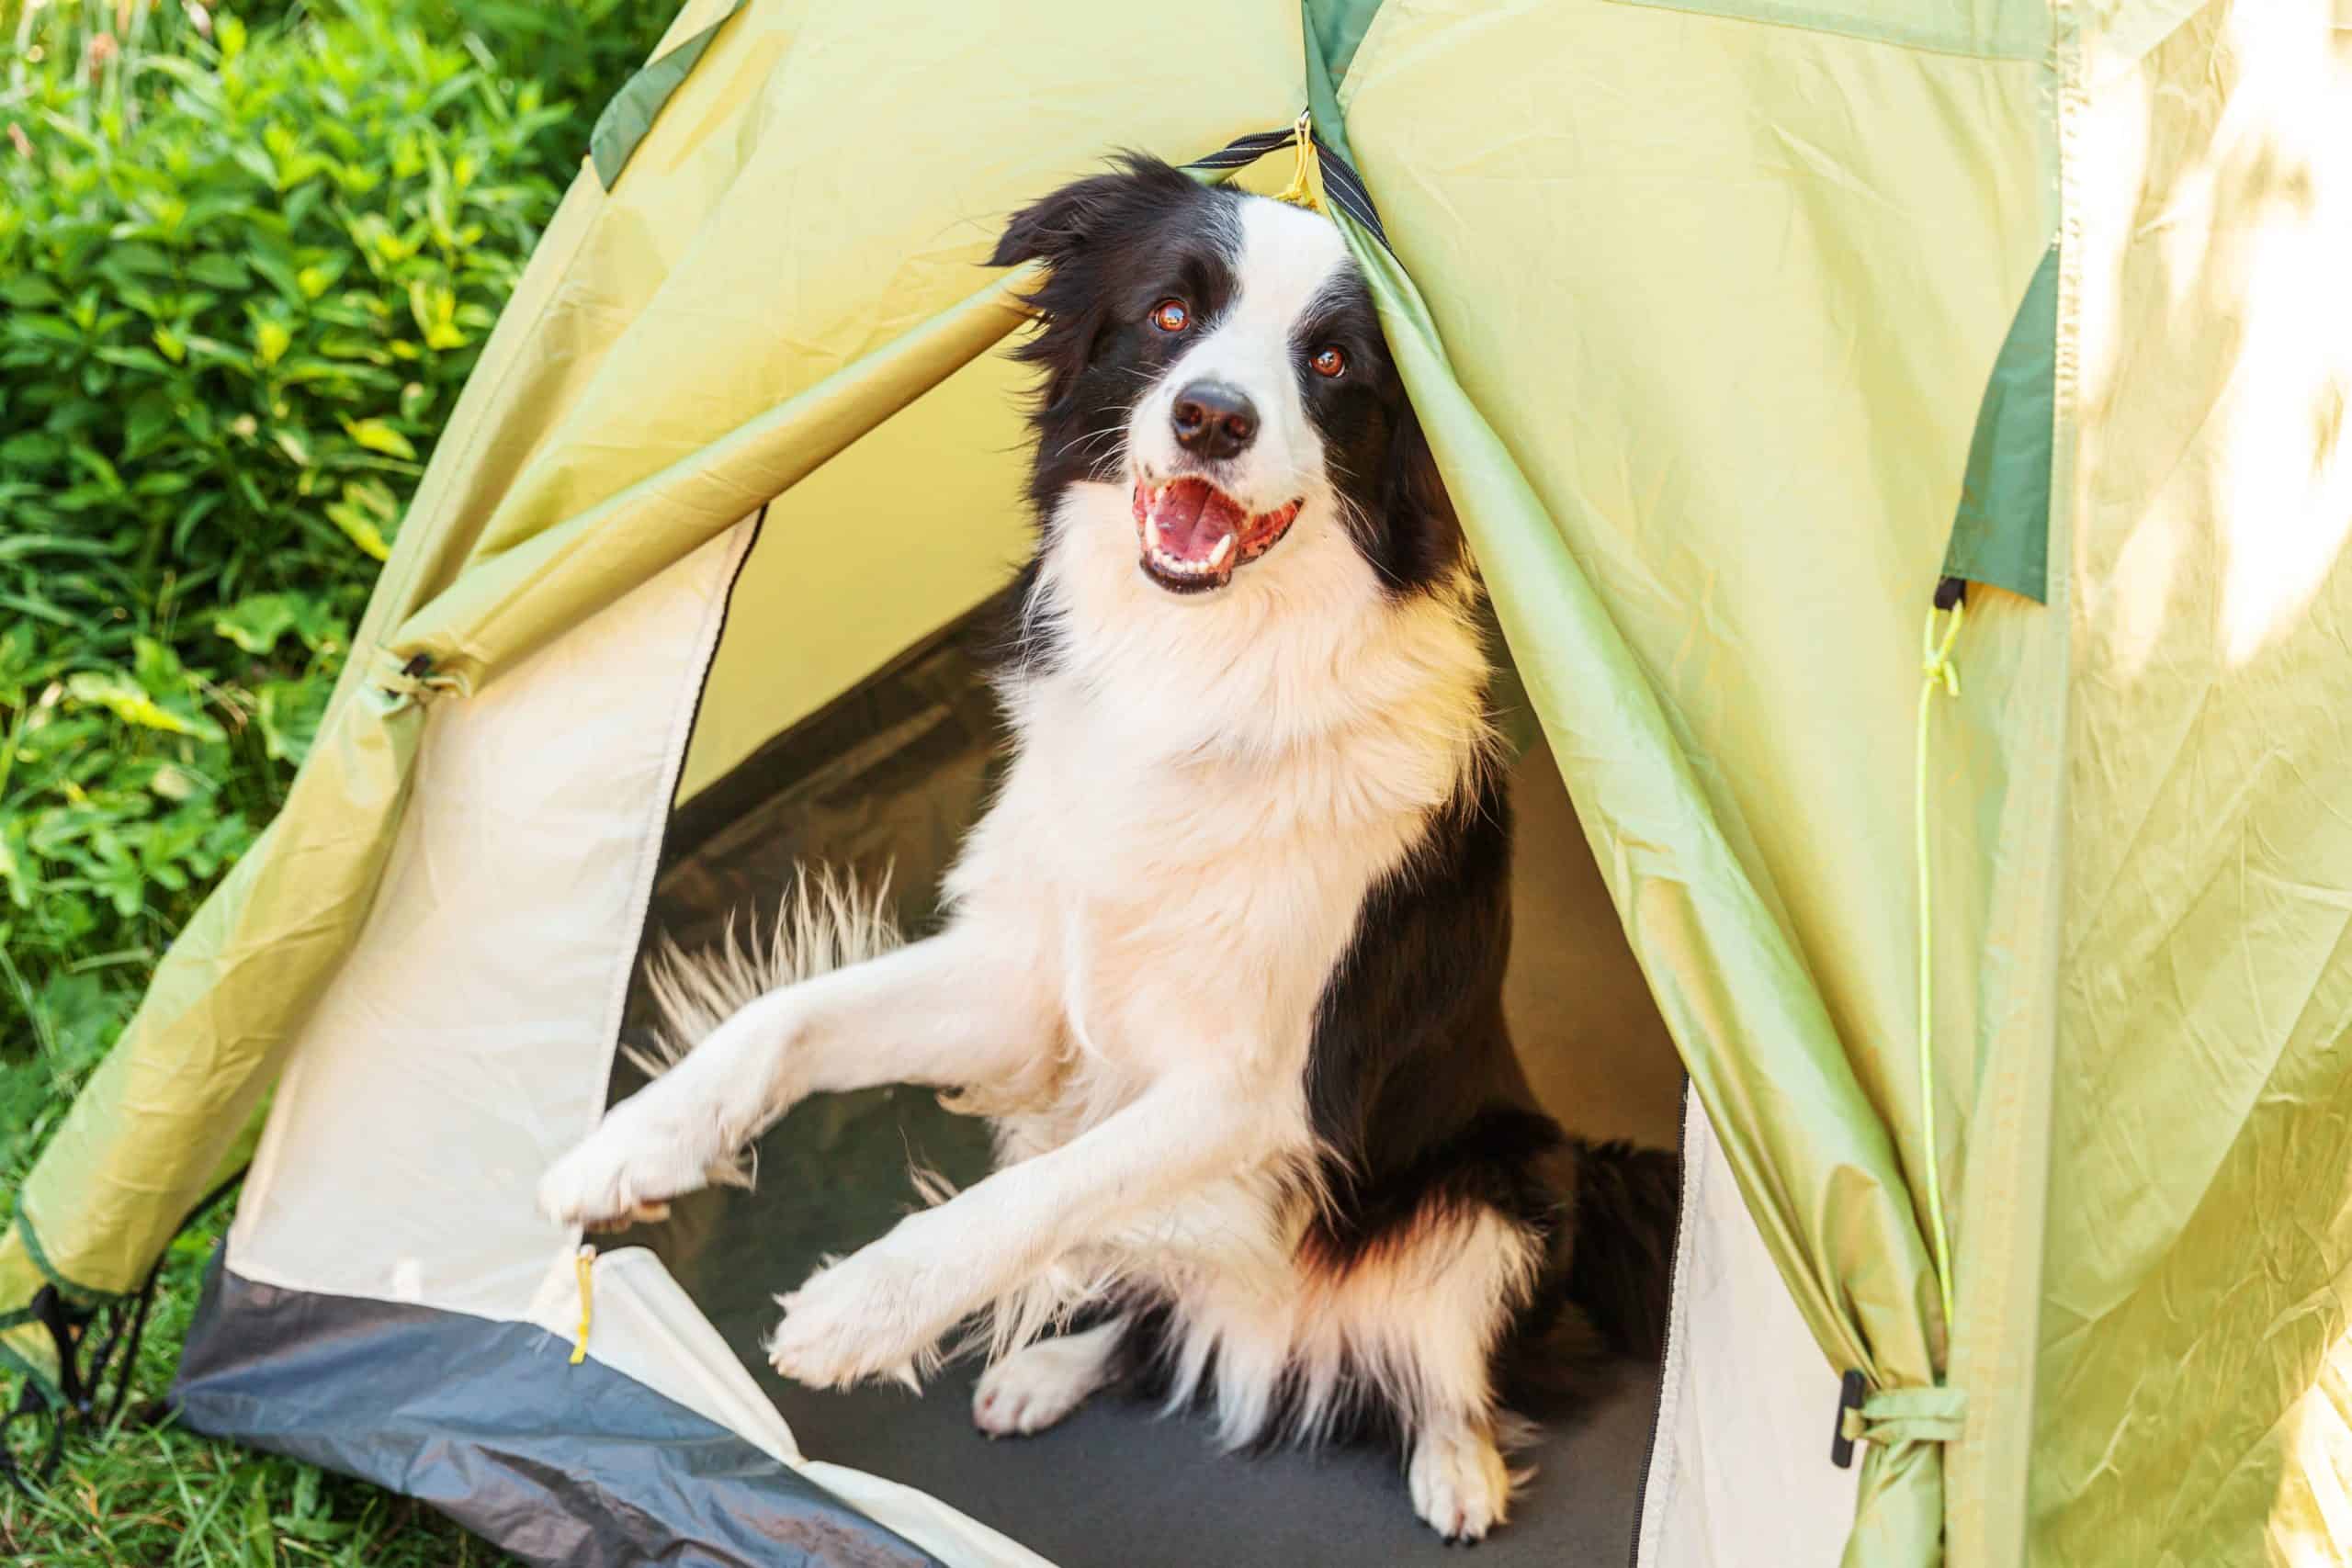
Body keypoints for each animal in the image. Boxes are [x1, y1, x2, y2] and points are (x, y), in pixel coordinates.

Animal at [538, 160, 1674, 1541]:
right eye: (1172, 314)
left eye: (1335, 361)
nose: (1210, 419)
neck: (1204, 670)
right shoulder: (1037, 977)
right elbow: (793, 1017)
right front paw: (630, 1146)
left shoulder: (1256, 1085)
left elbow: (1041, 1189)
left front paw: (863, 1306)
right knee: (1154, 1313)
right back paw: (1047, 1369)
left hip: (1516, 1177)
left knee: (1448, 1360)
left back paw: (1457, 1467)